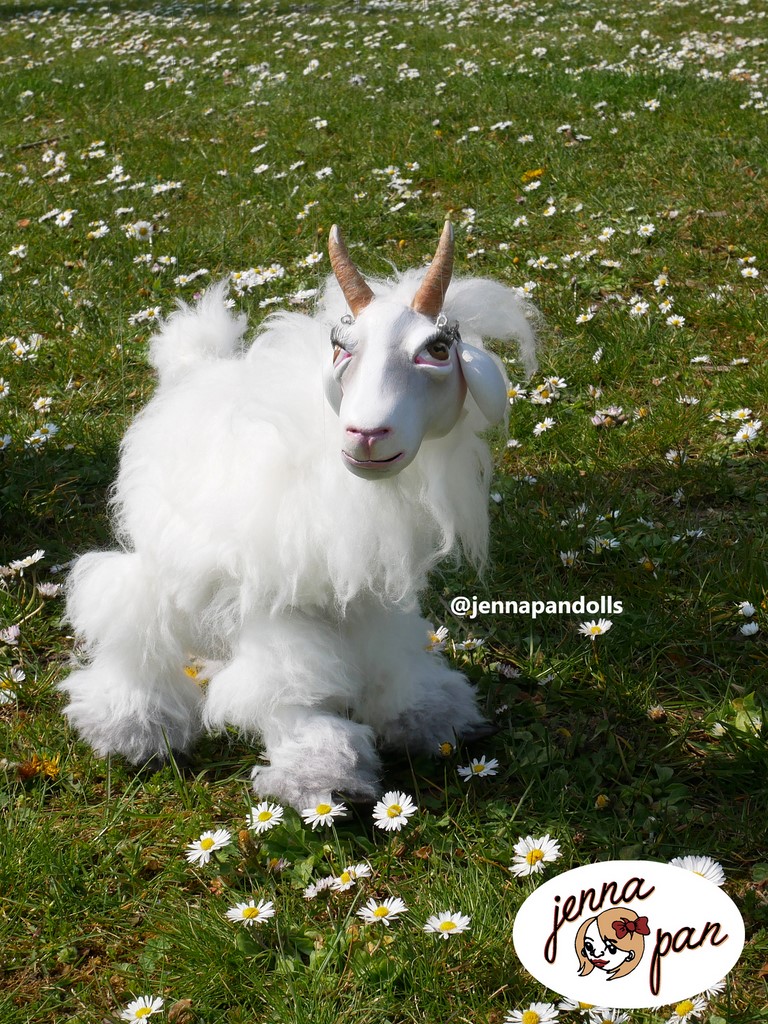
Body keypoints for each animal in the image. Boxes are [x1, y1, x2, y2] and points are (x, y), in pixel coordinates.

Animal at [60, 223, 537, 810]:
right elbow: (292, 687)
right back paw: (133, 724)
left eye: (438, 350)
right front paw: (321, 775)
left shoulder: (368, 597)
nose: (366, 435)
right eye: (342, 350)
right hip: (164, 563)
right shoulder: (275, 603)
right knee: (132, 620)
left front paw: (428, 716)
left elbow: (392, 654)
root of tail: (193, 366)